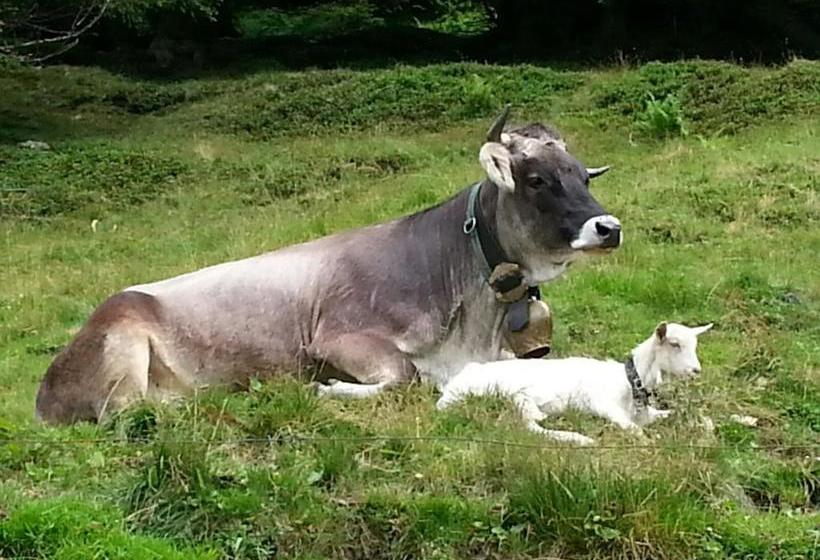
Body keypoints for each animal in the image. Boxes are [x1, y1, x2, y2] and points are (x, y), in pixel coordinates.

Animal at [33, 108, 620, 424]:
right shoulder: (338, 338)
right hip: (122, 341)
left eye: (581, 175)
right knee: (130, 411)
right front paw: (328, 390)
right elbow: (405, 377)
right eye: (537, 179)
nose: (609, 227)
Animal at [436, 322, 712, 444]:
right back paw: (581, 439)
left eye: (695, 344)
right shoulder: (603, 404)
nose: (696, 370)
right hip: (507, 398)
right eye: (674, 344)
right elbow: (634, 429)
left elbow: (677, 416)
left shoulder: (647, 414)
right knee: (528, 427)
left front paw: (705, 426)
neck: (629, 382)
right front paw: (649, 442)